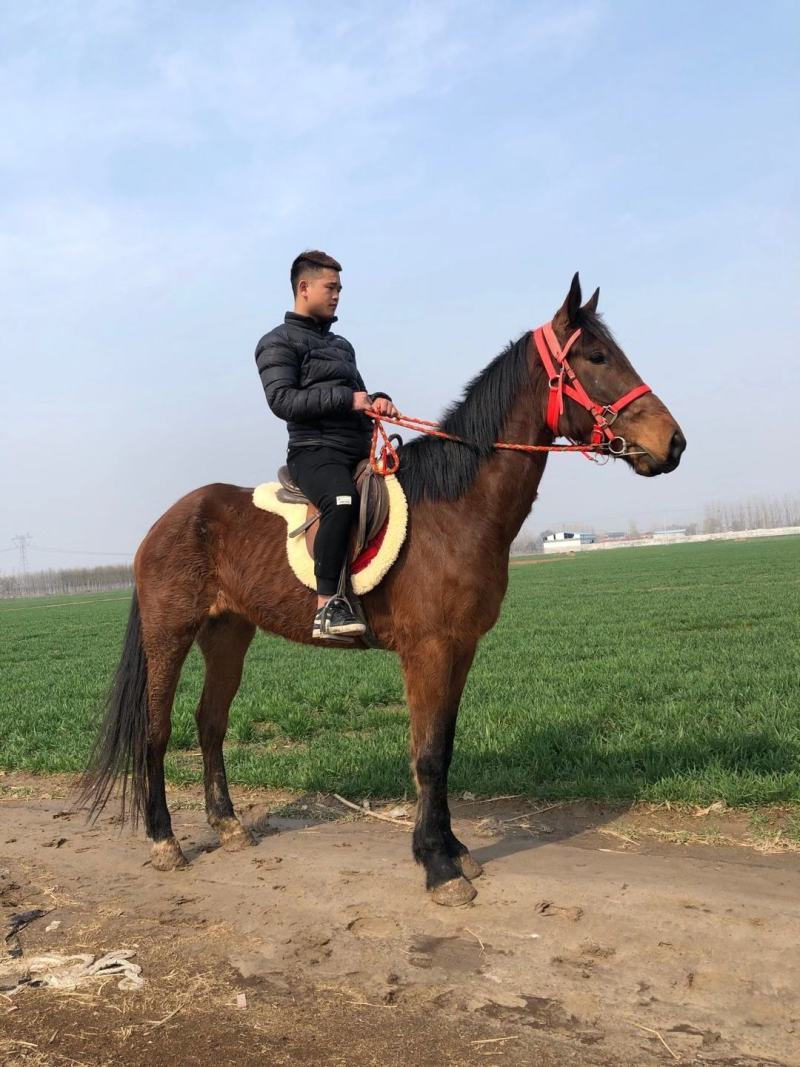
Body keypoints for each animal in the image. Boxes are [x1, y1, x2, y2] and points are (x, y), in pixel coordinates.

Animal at [79, 274, 685, 906]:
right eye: (597, 357)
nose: (673, 443)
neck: (456, 509)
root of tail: (166, 522)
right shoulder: (428, 650)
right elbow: (428, 756)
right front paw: (438, 867)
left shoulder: (460, 648)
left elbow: (443, 748)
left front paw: (454, 851)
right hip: (169, 634)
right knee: (157, 731)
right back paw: (164, 841)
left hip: (228, 634)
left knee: (210, 723)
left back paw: (227, 825)